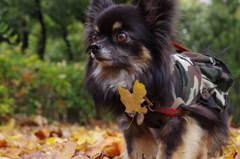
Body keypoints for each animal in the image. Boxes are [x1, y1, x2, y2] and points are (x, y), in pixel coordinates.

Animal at [83, 0, 233, 158]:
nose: (93, 46)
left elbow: (170, 153)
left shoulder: (176, 122)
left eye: (121, 36)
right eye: (95, 37)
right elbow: (134, 151)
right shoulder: (134, 124)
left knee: (205, 145)